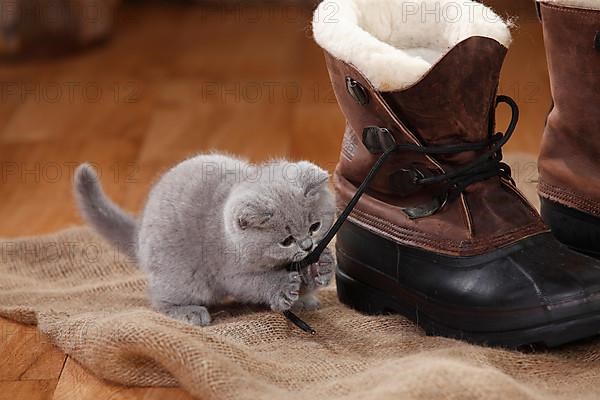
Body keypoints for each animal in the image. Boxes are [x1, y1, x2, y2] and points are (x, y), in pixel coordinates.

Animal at [72, 155, 338, 326]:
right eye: (286, 240)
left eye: (315, 227)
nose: (308, 245)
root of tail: (139, 236)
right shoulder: (231, 272)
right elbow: (256, 283)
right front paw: (281, 286)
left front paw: (322, 266)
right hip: (181, 276)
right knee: (159, 299)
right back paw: (190, 313)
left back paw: (305, 301)